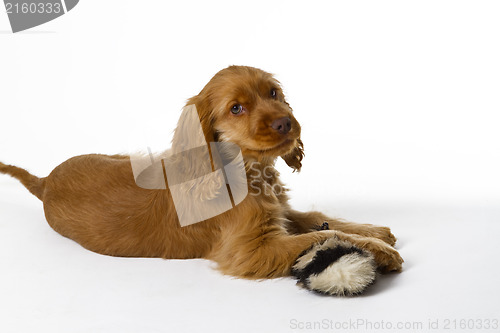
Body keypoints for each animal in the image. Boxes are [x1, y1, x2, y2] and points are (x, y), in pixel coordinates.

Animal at [0, 65, 402, 296]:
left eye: (273, 93)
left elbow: (319, 219)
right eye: (236, 108)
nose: (285, 122)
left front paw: (373, 232)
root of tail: (46, 181)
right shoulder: (250, 251)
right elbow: (317, 236)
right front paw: (380, 250)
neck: (247, 172)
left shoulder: (279, 212)